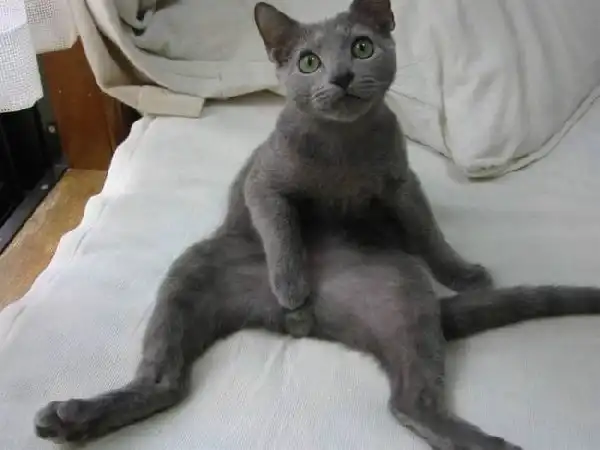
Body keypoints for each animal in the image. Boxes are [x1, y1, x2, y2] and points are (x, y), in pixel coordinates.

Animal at [34, 1, 600, 448]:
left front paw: (465, 274)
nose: (341, 76)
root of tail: (305, 324)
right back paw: (70, 418)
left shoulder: (402, 184)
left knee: (408, 400)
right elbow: (283, 230)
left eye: (363, 47)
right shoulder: (263, 183)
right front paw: (291, 284)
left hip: (400, 293)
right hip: (194, 268)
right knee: (165, 379)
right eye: (309, 61)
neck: (342, 149)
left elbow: (429, 233)